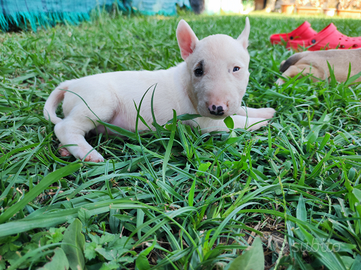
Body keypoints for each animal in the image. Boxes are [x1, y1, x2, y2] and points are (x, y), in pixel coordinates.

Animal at [45, 19, 276, 163]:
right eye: (198, 71)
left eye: (236, 69)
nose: (217, 108)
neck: (185, 82)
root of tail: (72, 84)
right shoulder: (203, 121)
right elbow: (235, 122)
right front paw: (261, 123)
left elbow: (242, 110)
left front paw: (265, 111)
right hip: (98, 102)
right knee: (65, 127)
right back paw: (89, 154)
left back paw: (66, 150)